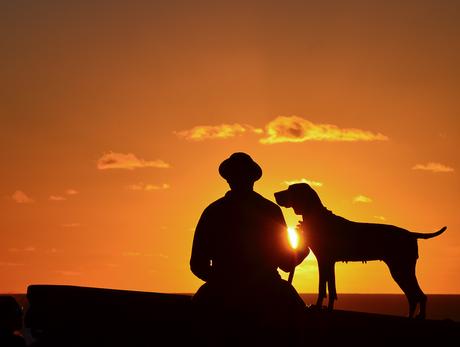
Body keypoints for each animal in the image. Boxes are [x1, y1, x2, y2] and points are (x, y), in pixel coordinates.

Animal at [274, 184, 446, 320]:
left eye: (290, 189)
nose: (275, 194)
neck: (317, 217)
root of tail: (411, 234)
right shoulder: (329, 261)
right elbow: (331, 288)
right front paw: (328, 308)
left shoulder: (324, 260)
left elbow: (322, 287)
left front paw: (317, 307)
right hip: (401, 270)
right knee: (412, 296)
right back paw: (411, 317)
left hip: (401, 269)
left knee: (419, 295)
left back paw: (420, 317)